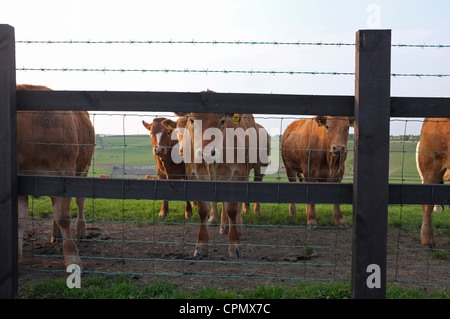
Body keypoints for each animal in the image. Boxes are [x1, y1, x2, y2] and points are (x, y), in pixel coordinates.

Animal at [16, 84, 96, 268]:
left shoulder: (65, 174)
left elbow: (63, 217)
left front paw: (72, 257)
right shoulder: (21, 178)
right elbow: (19, 219)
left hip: (83, 169)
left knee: (80, 201)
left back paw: (81, 231)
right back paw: (56, 234)